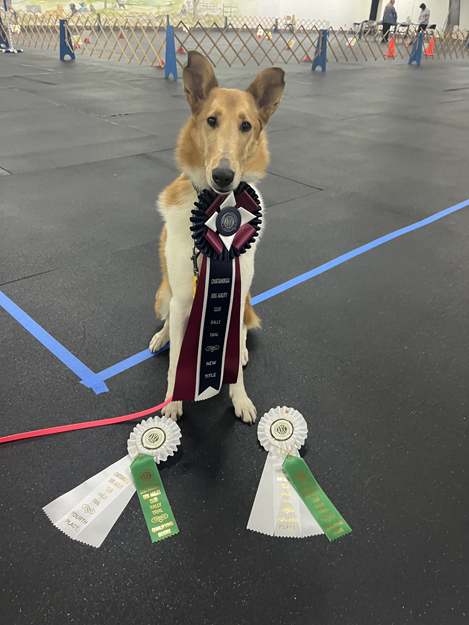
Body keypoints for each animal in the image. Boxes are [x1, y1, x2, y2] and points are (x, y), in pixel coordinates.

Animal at [149, 51, 285, 424]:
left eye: (246, 126)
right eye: (211, 120)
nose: (223, 176)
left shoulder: (236, 294)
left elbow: (234, 359)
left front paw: (240, 399)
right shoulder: (183, 300)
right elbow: (175, 363)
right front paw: (173, 402)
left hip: (246, 299)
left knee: (242, 331)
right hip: (164, 294)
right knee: (168, 323)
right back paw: (160, 337)